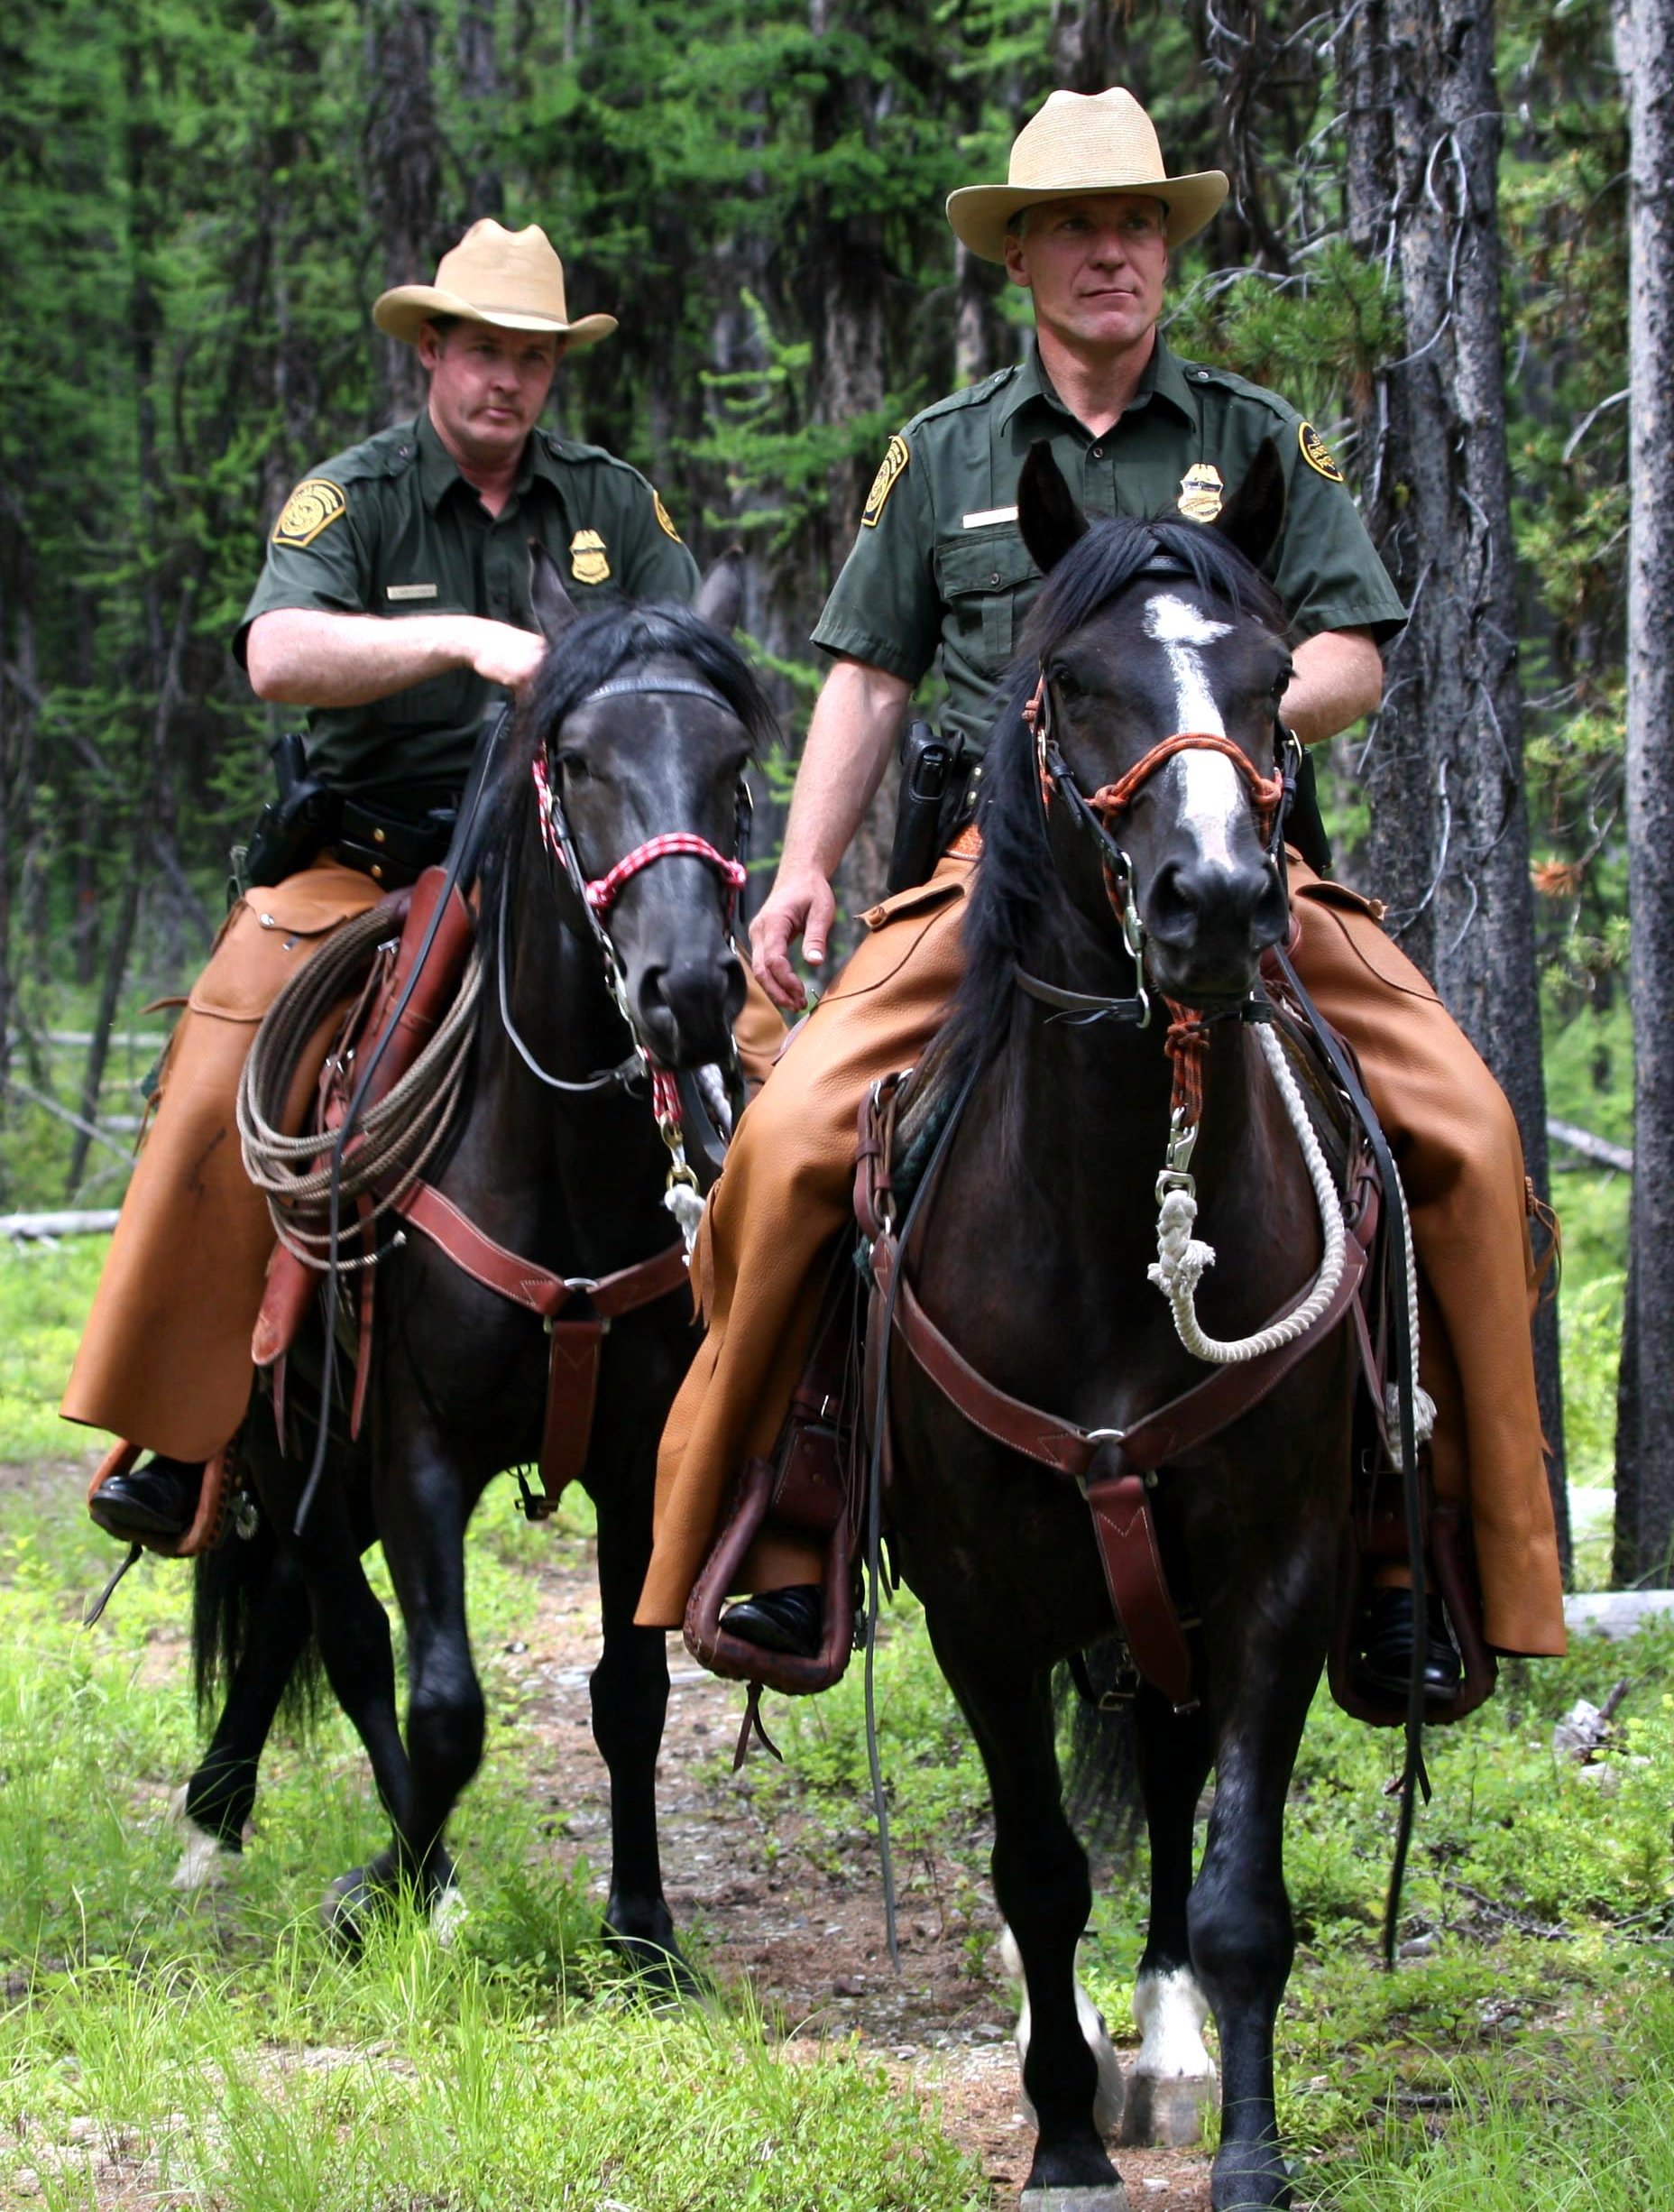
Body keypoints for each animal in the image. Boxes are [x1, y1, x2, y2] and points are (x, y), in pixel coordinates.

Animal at [170, 553, 769, 1973]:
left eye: (734, 766)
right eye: (579, 759)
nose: (685, 989)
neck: (552, 1157)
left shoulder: (636, 1457)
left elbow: (630, 1691)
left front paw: (642, 1931)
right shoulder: (416, 1447)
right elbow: (440, 1700)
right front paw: (388, 1885)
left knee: (292, 1608)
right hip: (293, 1434)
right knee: (338, 1626)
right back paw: (290, 1837)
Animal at [888, 448, 1362, 2212]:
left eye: (1275, 679)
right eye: (1077, 682)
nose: (1213, 903)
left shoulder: (1281, 1571)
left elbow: (1239, 1898)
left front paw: (1246, 2155)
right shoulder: (975, 1599)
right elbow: (1035, 1869)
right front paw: (1064, 2136)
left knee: (1164, 1772)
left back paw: (1162, 2044)